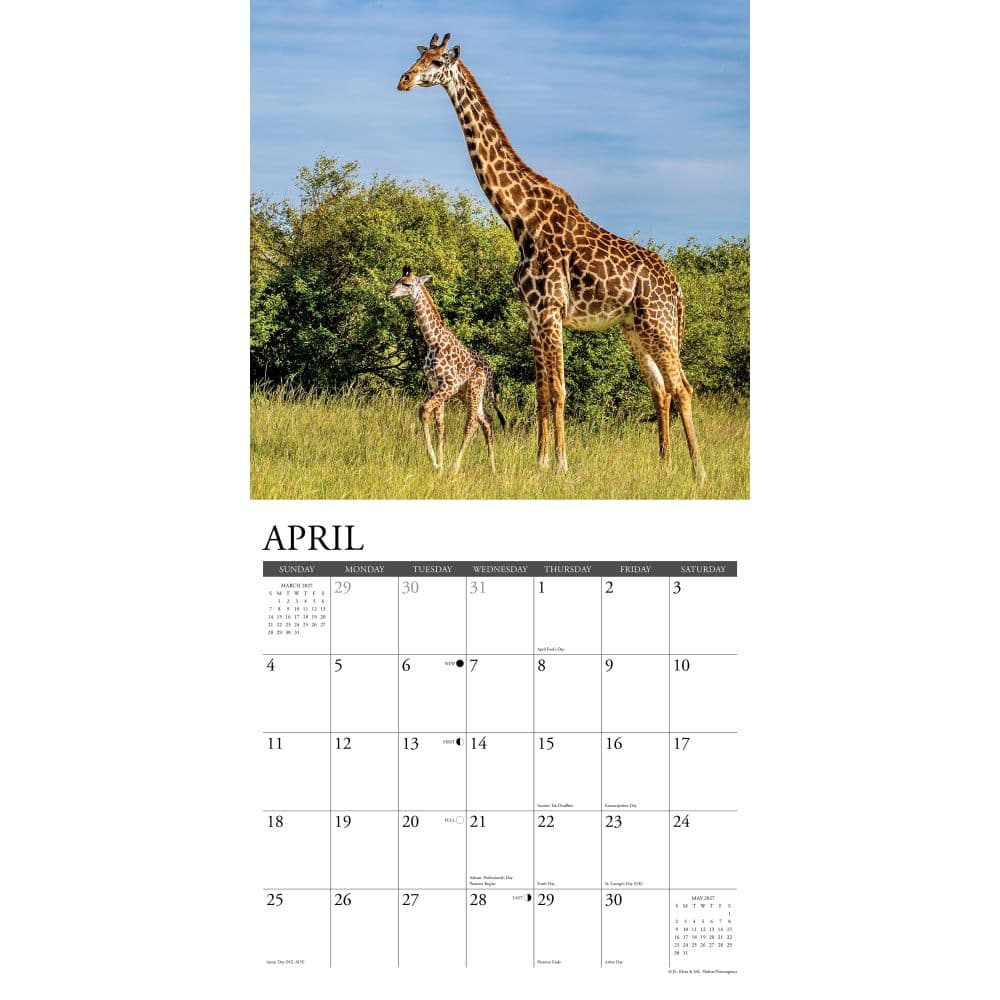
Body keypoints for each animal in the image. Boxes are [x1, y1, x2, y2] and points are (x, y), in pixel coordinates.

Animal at [388, 267, 506, 473]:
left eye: (407, 284)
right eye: (397, 280)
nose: (390, 292)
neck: (432, 341)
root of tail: (490, 371)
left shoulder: (448, 384)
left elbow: (424, 410)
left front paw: (435, 460)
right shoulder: (434, 384)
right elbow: (440, 424)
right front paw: (439, 464)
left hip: (474, 389)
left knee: (472, 423)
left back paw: (456, 466)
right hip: (468, 394)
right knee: (487, 420)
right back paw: (492, 468)